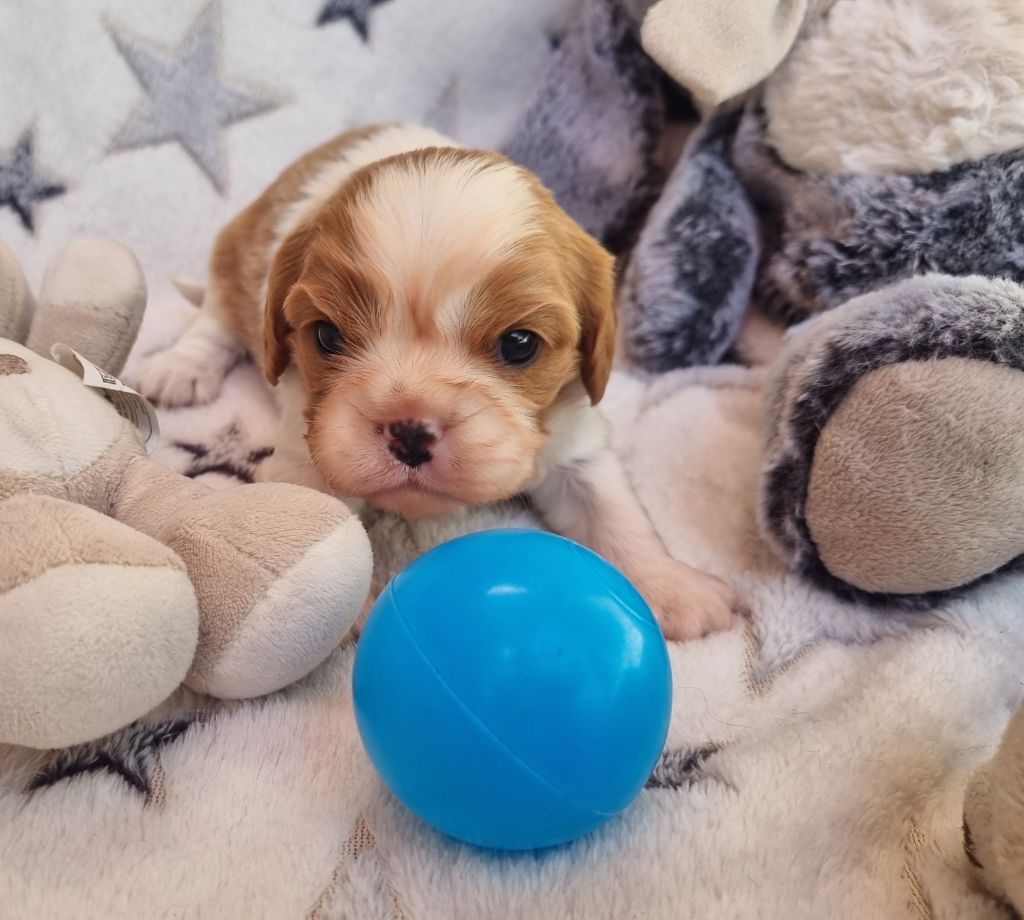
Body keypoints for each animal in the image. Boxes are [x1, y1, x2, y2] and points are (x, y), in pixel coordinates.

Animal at [140, 123, 741, 639]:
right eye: (327, 336)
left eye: (519, 344)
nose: (409, 433)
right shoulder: (305, 450)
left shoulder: (576, 437)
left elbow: (614, 511)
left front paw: (672, 586)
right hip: (233, 258)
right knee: (214, 323)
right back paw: (181, 369)